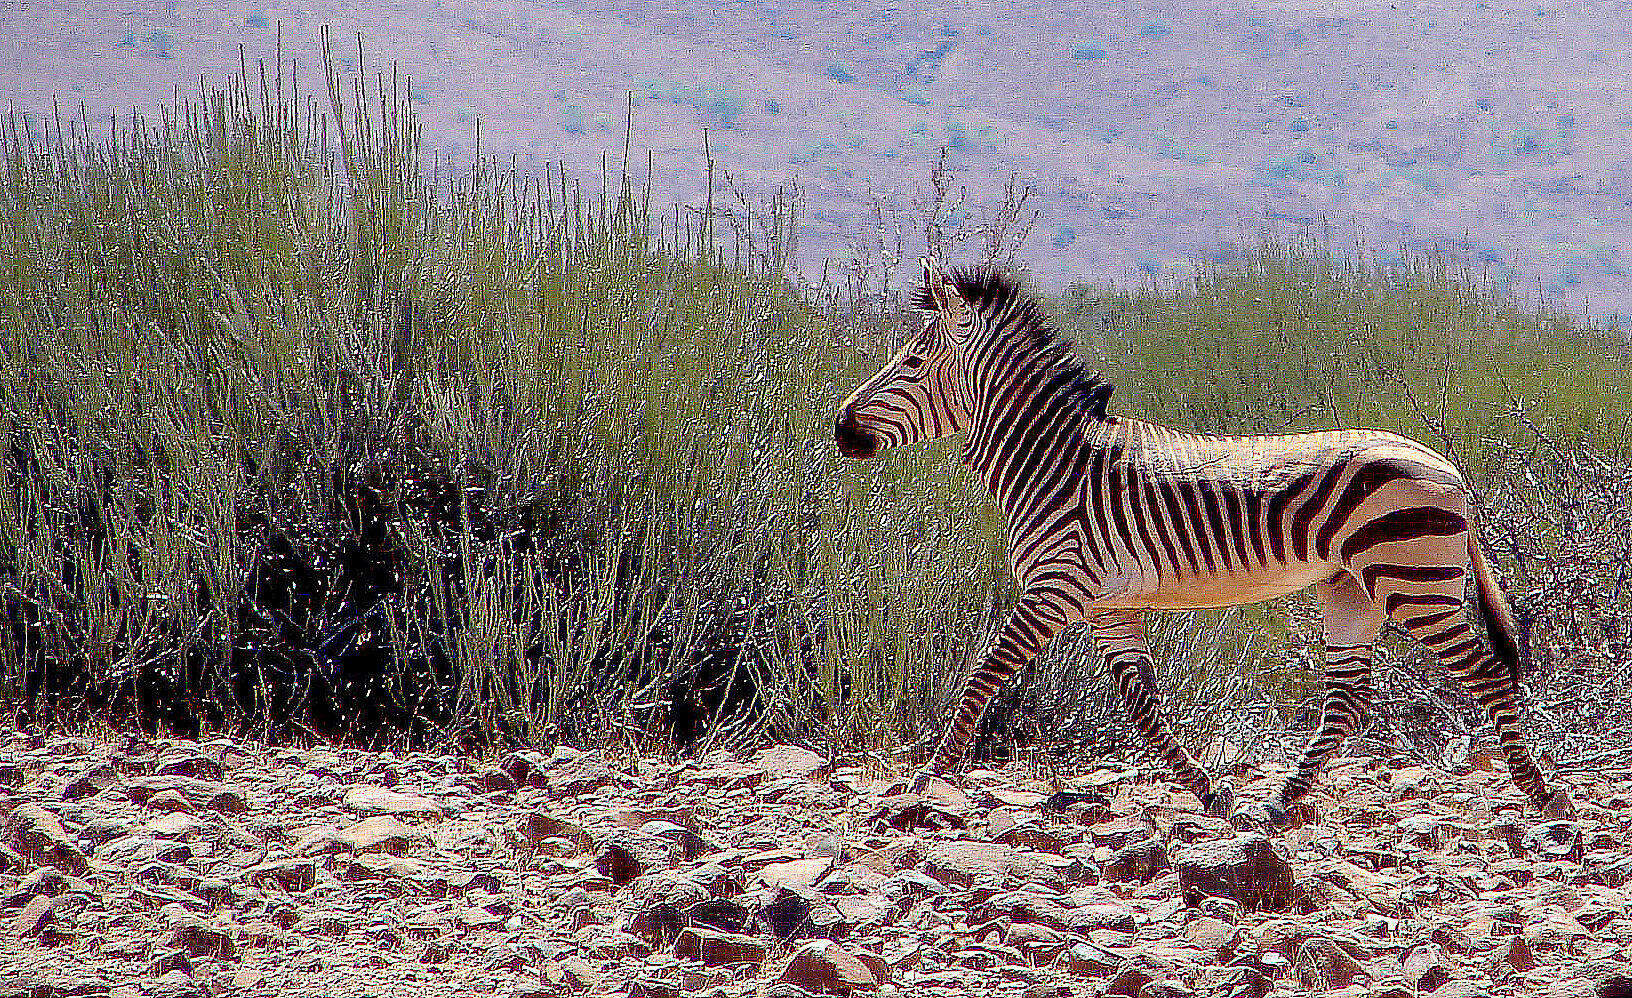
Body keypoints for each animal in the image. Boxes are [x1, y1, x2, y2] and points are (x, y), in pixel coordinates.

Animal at [835, 257, 1573, 825]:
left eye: (912, 361)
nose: (840, 426)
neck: (1055, 463)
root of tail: (1447, 467)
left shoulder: (1057, 587)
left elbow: (984, 674)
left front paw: (929, 777)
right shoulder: (1111, 605)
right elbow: (1142, 705)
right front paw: (1207, 791)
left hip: (1414, 583)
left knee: (1485, 674)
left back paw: (1545, 800)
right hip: (1352, 591)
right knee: (1345, 700)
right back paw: (1281, 805)